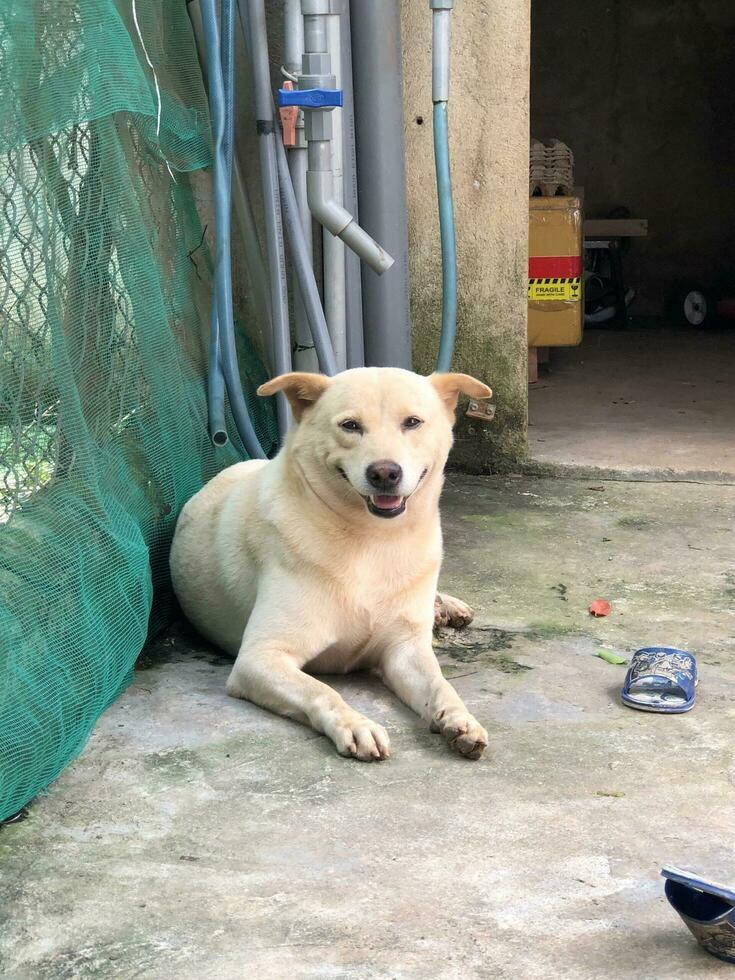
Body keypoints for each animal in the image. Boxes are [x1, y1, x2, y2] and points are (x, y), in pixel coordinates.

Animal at [172, 368, 492, 756]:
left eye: (412, 422)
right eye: (350, 426)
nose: (384, 473)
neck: (373, 541)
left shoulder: (405, 651)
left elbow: (440, 684)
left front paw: (460, 718)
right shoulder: (260, 658)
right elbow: (321, 690)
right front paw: (356, 725)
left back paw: (446, 606)